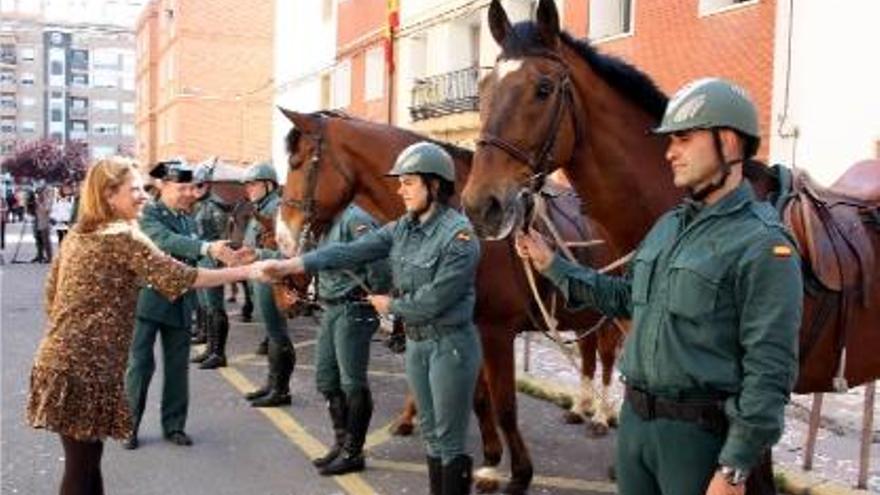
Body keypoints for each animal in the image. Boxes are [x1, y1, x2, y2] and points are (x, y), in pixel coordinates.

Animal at [276, 107, 624, 492]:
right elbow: (478, 398)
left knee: (609, 359)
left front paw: (519, 473)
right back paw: (582, 409)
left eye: (297, 162)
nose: (283, 238)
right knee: (592, 355)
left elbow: (504, 405)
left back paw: (602, 418)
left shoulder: (495, 332)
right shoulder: (468, 329)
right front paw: (490, 461)